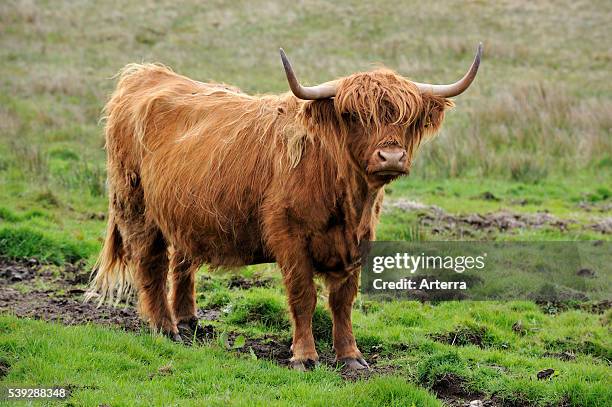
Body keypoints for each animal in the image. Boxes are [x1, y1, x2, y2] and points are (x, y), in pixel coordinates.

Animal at [87, 43, 482, 370]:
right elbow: (303, 296)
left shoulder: (358, 241)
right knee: (150, 264)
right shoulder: (291, 238)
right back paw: (165, 328)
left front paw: (351, 356)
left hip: (185, 213)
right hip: (136, 207)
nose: (392, 157)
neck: (347, 199)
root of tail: (146, 73)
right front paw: (304, 356)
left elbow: (343, 300)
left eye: (407, 116)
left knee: (182, 262)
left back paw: (189, 321)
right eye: (353, 115)